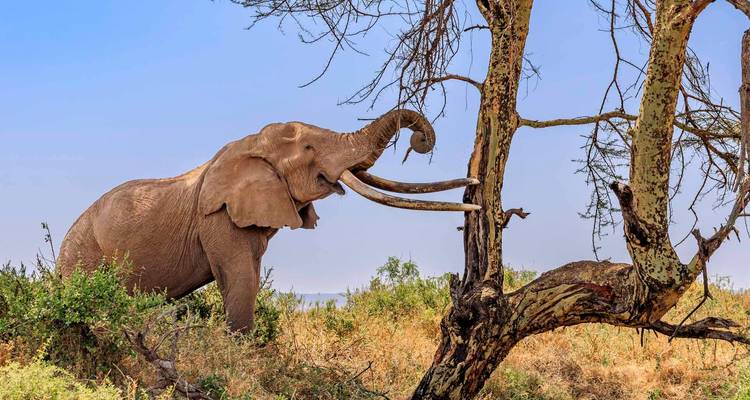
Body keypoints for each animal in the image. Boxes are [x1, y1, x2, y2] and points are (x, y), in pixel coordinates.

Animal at [57, 109, 479, 332]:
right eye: (309, 148)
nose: (418, 141)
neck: (249, 144)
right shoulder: (218, 217)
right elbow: (241, 279)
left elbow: (250, 275)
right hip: (84, 254)